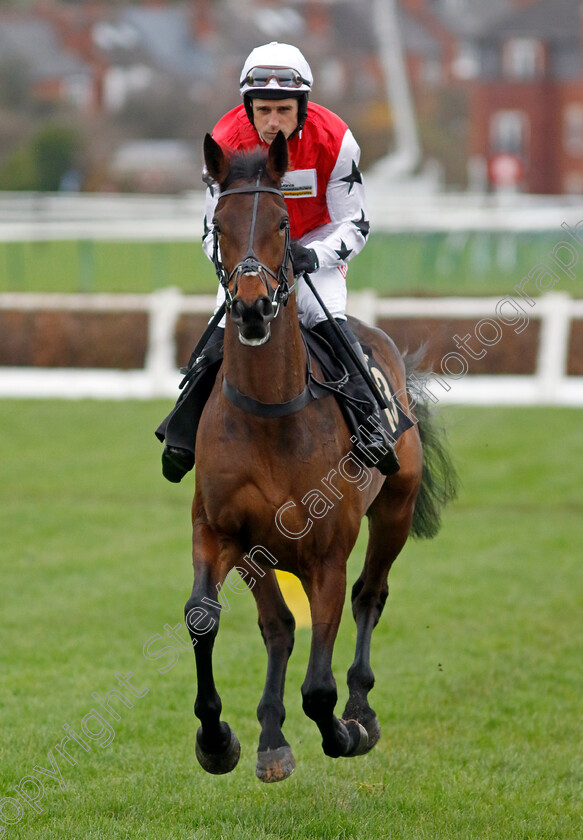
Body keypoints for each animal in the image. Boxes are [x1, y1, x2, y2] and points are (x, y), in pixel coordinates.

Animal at [182, 130, 456, 780]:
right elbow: (207, 615)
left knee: (370, 596)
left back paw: (360, 709)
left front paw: (343, 731)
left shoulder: (328, 551)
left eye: (283, 223)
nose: (252, 307)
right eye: (219, 224)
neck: (269, 412)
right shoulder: (221, 529)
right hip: (262, 548)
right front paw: (218, 738)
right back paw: (270, 737)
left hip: (395, 510)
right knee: (279, 627)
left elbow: (319, 686)